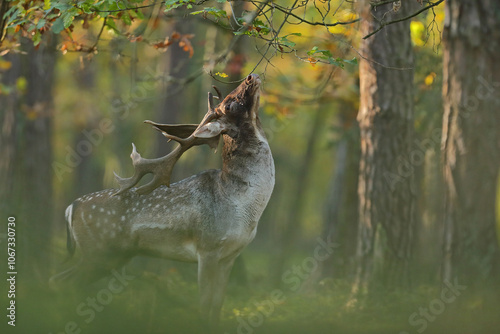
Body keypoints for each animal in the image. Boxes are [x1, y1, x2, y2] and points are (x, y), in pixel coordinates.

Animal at [50, 73, 276, 326]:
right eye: (228, 104)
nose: (250, 76)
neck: (242, 205)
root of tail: (72, 207)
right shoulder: (207, 248)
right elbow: (204, 305)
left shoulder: (230, 256)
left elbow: (217, 307)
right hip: (98, 250)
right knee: (66, 281)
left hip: (113, 254)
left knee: (60, 279)